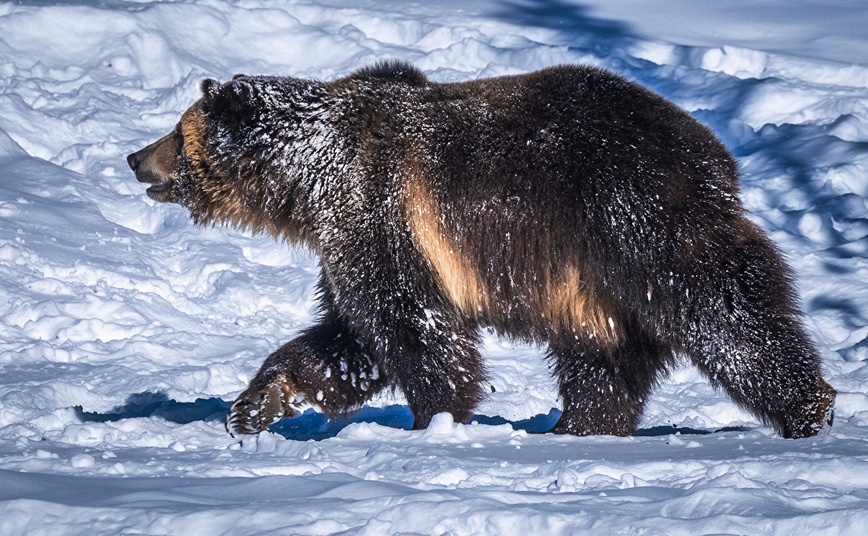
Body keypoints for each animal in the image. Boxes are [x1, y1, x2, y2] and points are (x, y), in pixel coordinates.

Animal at [127, 61, 836, 440]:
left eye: (177, 132)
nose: (136, 157)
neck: (310, 176)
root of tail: (716, 157)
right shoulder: (349, 237)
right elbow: (348, 338)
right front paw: (255, 405)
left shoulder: (382, 212)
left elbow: (411, 327)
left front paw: (435, 421)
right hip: (592, 282)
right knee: (604, 358)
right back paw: (578, 427)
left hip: (637, 223)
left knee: (728, 316)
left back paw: (809, 408)